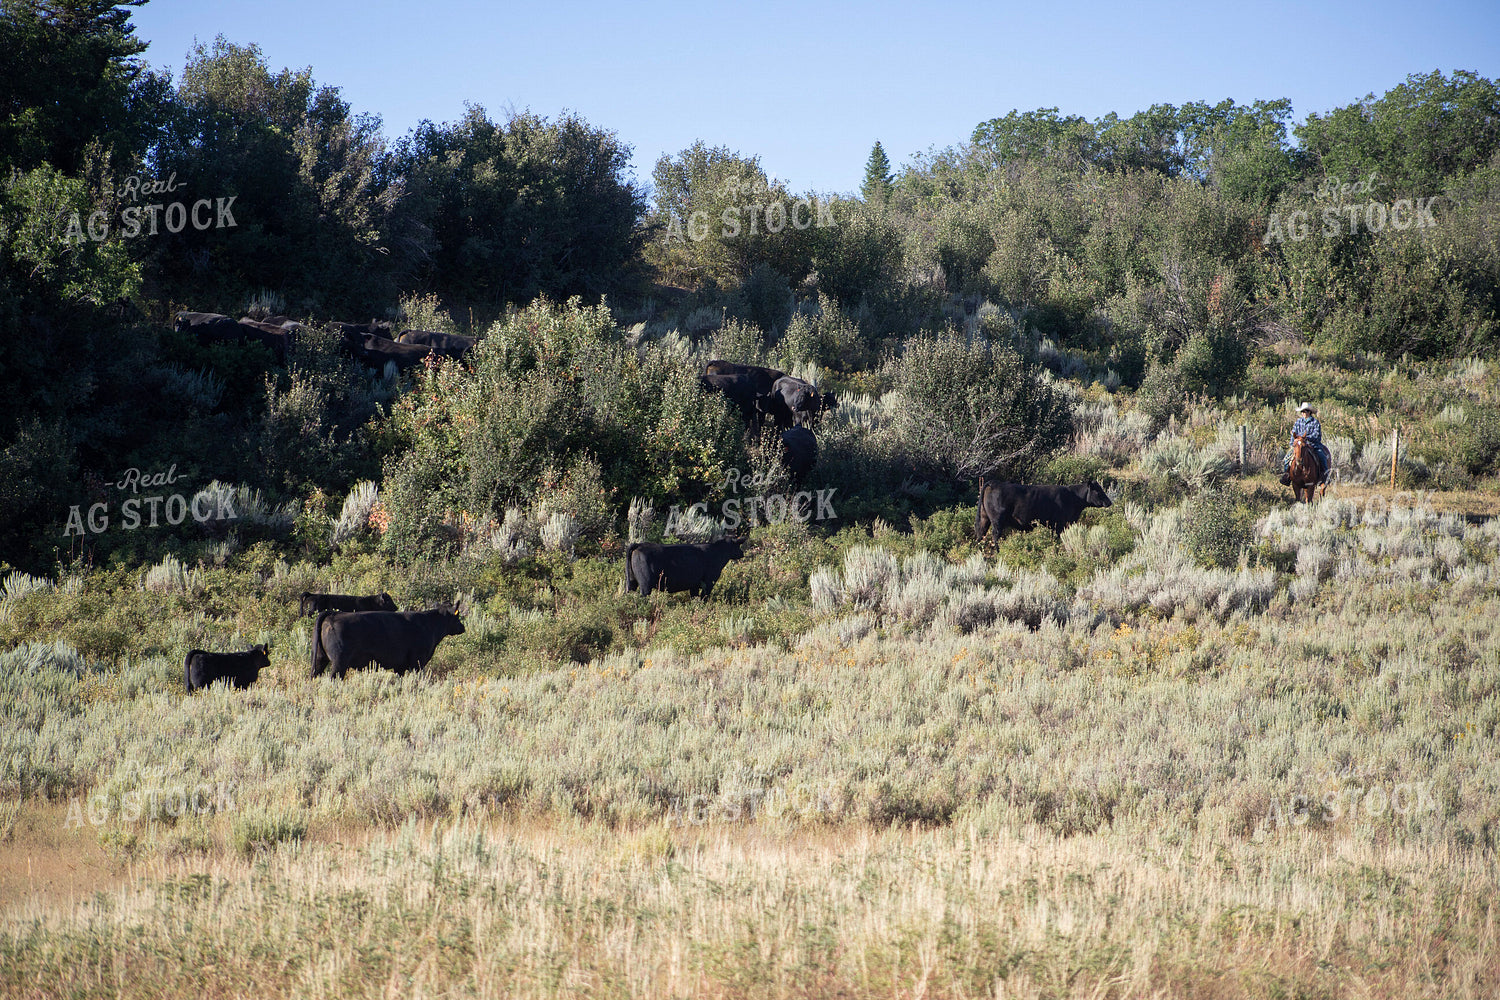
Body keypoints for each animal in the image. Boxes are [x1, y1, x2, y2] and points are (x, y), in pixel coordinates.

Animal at [310, 606, 466, 678]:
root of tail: (333, 613)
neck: (428, 624)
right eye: (457, 618)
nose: (463, 627)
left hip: (320, 659)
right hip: (339, 663)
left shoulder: (400, 666)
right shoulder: (417, 662)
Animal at [975, 480, 1113, 545]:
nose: (1109, 502)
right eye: (1098, 491)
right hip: (997, 521)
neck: (1073, 497)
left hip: (984, 518)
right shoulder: (1059, 524)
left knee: (980, 534)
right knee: (995, 537)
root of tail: (994, 483)